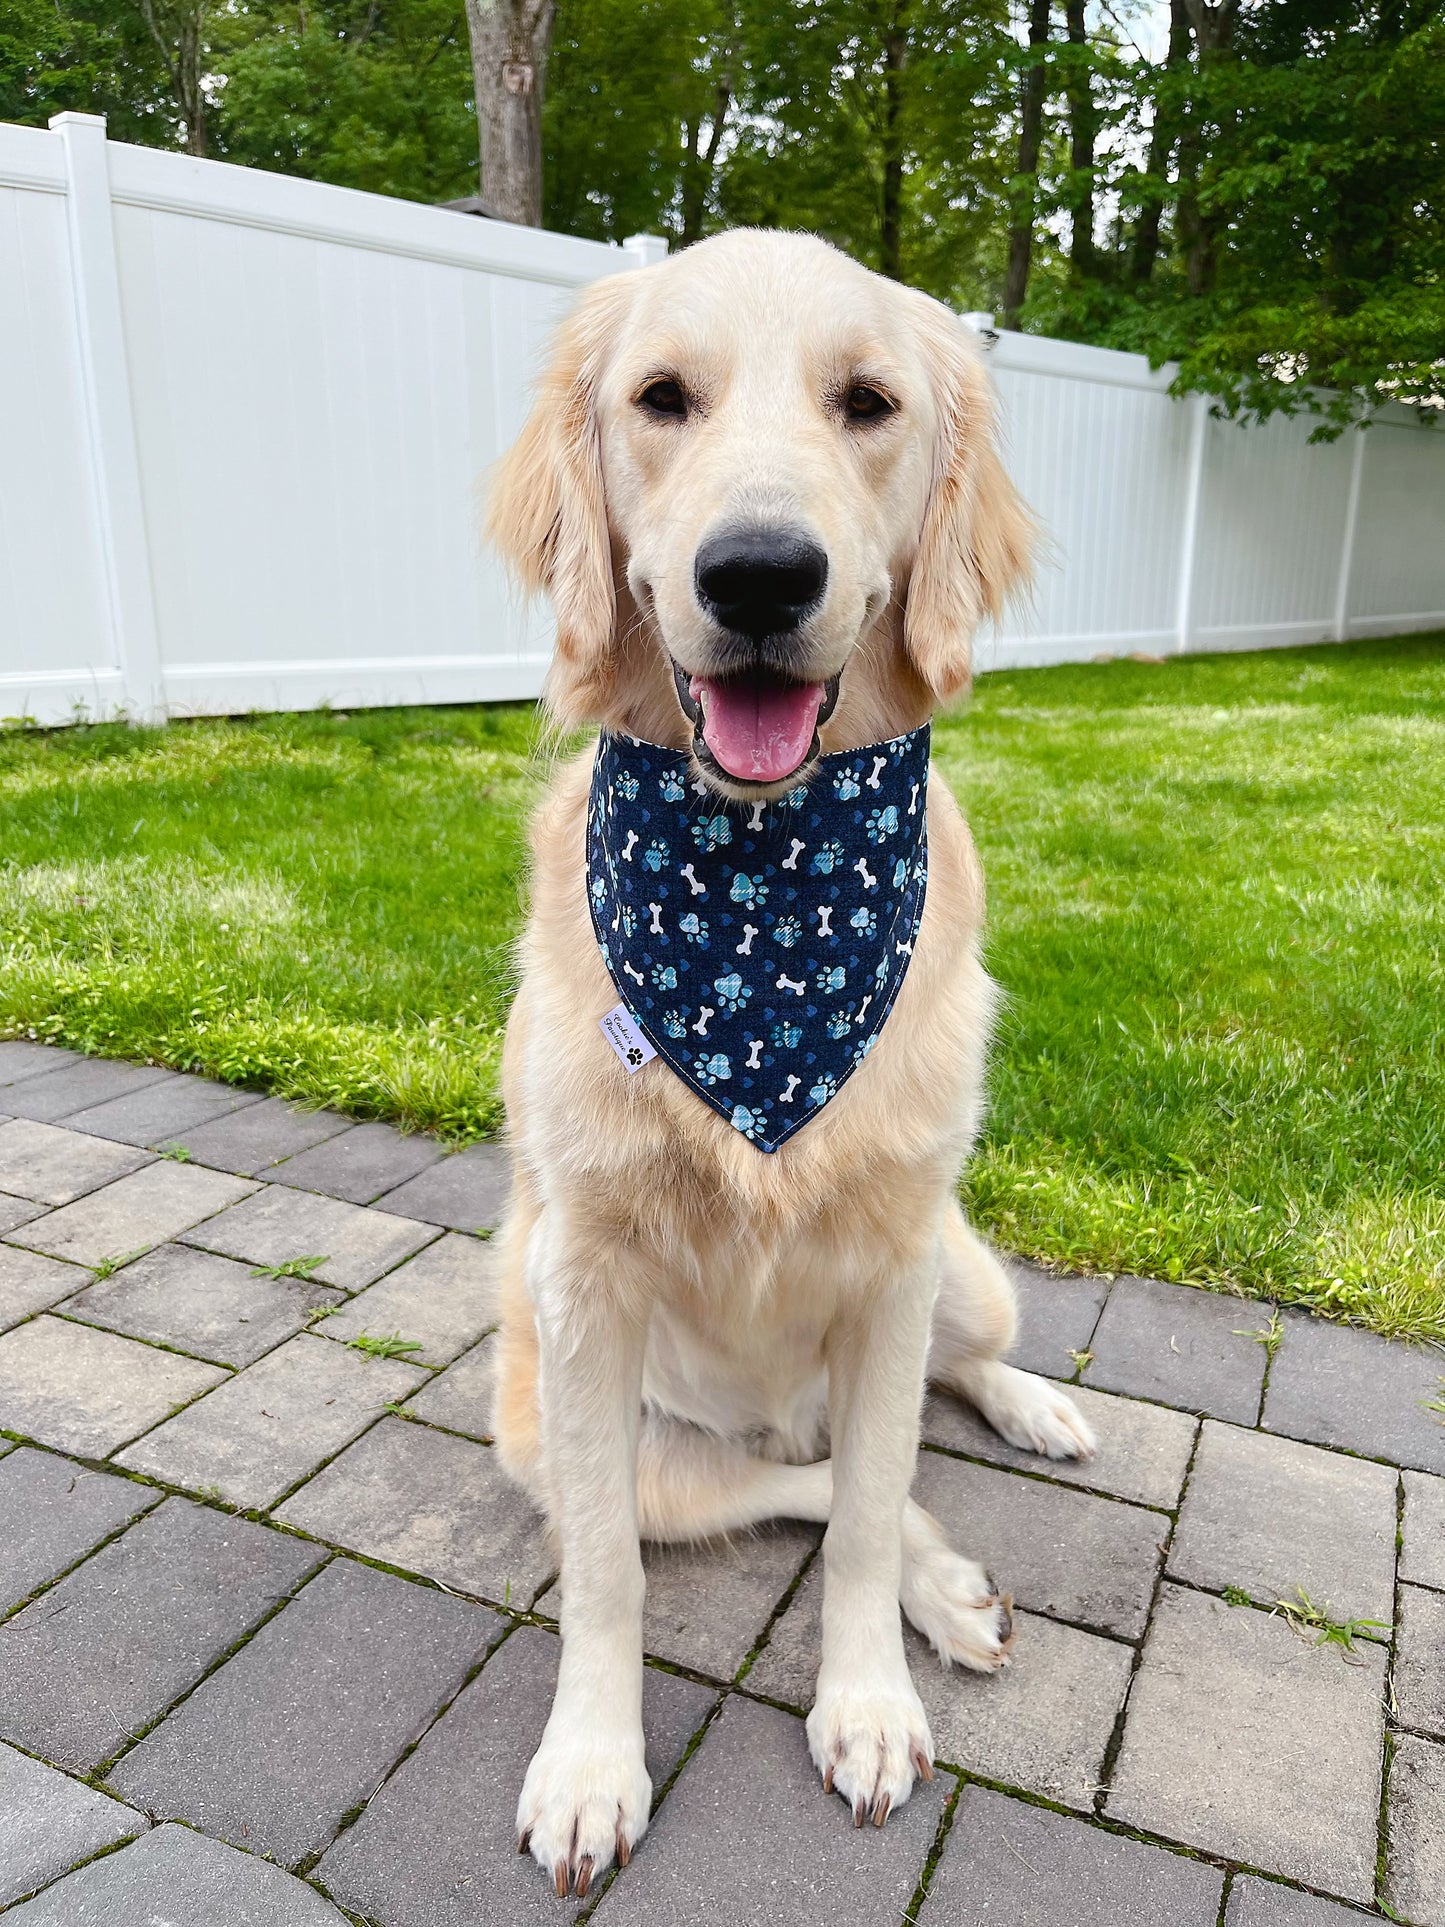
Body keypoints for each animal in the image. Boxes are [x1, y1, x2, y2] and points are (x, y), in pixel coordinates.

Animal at [487, 225, 1094, 1896]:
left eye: (868, 401)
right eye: (662, 398)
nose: (758, 573)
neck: (764, 907)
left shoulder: (892, 1267)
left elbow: (877, 1517)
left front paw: (867, 1704)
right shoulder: (582, 1285)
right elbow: (613, 1576)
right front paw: (589, 1764)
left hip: (963, 1270)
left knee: (919, 1423)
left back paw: (1031, 1421)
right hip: (589, 1434)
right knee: (806, 1484)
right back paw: (951, 1580)